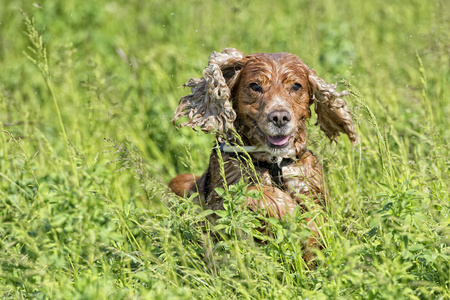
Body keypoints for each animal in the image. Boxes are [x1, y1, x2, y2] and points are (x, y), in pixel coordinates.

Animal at [169, 47, 358, 241]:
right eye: (255, 86)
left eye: (296, 86)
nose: (279, 117)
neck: (274, 162)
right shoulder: (218, 202)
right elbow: (259, 192)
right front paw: (293, 214)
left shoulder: (310, 183)